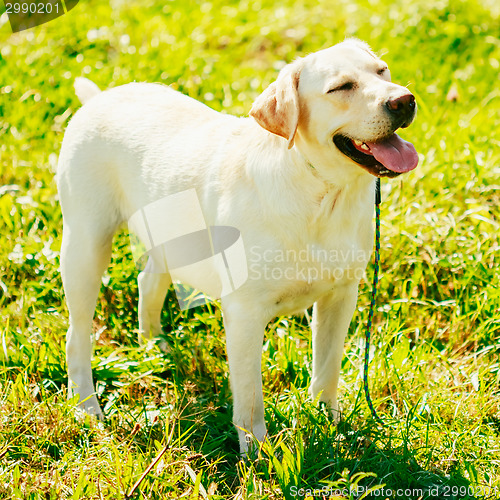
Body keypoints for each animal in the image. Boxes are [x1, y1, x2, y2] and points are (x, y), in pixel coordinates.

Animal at [57, 39, 418, 454]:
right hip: (85, 247)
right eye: (341, 87)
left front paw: (332, 426)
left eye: (382, 71)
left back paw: (155, 345)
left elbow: (327, 370)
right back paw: (87, 406)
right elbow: (249, 395)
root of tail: (99, 98)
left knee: (148, 281)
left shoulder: (341, 296)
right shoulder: (245, 314)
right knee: (77, 336)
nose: (404, 100)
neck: (322, 194)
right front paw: (258, 452)